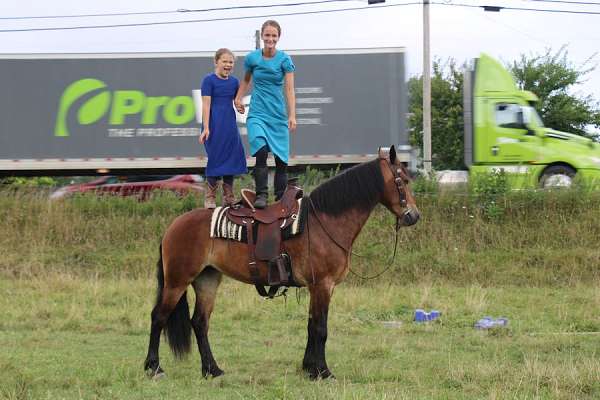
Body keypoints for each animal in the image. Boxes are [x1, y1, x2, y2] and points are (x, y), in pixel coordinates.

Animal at [143, 145, 420, 380]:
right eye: (404, 180)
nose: (414, 216)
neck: (324, 222)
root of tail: (172, 227)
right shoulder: (323, 285)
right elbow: (321, 329)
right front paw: (323, 371)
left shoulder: (317, 287)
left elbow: (311, 326)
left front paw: (309, 368)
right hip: (177, 281)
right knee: (158, 317)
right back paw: (154, 368)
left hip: (207, 280)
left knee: (200, 323)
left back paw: (212, 370)